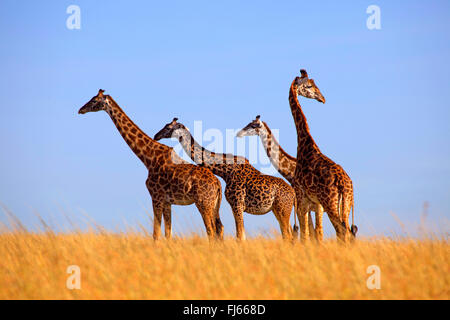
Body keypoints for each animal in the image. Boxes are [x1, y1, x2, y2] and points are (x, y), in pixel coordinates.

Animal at [78, 89, 225, 240]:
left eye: (94, 100)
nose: (80, 110)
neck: (148, 158)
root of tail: (218, 184)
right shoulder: (167, 201)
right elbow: (168, 233)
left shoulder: (156, 197)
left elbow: (156, 233)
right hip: (214, 205)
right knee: (218, 228)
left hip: (203, 203)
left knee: (211, 231)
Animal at [153, 117, 298, 240]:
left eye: (168, 127)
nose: (156, 136)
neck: (226, 171)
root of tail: (293, 194)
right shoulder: (236, 205)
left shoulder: (237, 204)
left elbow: (240, 236)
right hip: (278, 210)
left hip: (283, 209)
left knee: (288, 235)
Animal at [286, 69, 356, 242]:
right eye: (309, 85)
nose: (322, 98)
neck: (305, 145)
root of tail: (343, 184)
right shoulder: (311, 202)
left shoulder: (302, 199)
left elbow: (306, 234)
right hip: (345, 204)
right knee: (346, 232)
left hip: (330, 203)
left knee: (342, 231)